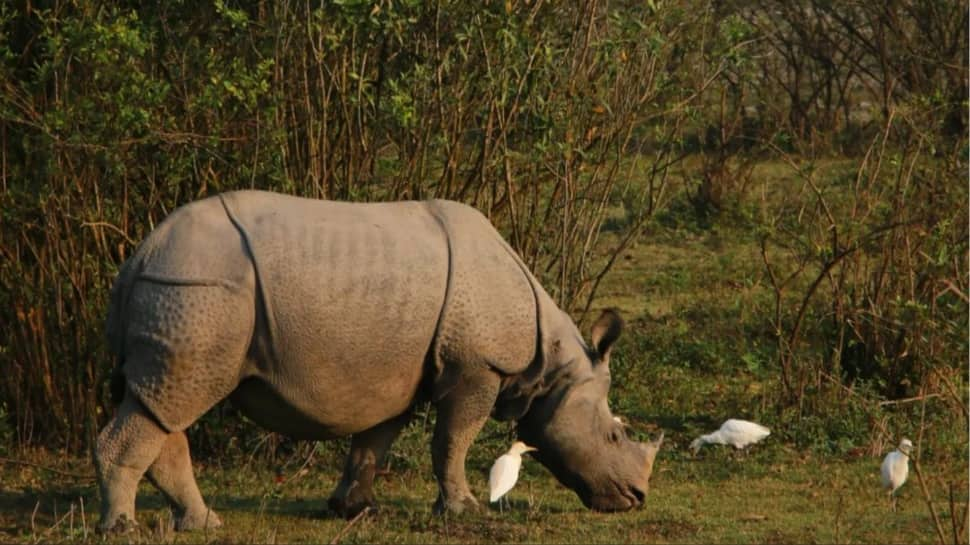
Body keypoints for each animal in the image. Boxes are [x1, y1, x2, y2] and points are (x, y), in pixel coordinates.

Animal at [94, 189, 660, 528]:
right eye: (614, 437)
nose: (636, 497)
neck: (552, 366)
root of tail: (139, 256)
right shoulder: (476, 367)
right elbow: (452, 440)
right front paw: (462, 511)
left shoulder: (399, 375)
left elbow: (374, 441)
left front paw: (353, 509)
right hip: (196, 289)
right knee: (174, 402)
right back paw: (123, 528)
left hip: (182, 290)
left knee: (160, 406)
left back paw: (204, 523)